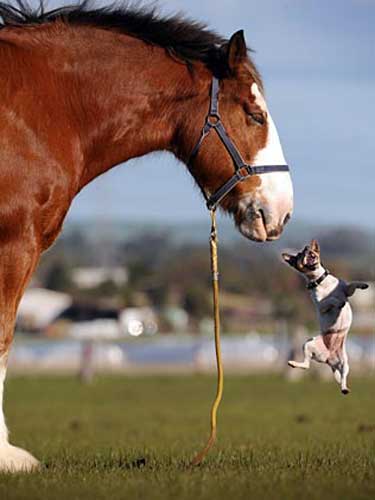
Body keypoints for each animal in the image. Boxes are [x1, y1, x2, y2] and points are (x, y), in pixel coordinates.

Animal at [284, 240, 368, 396]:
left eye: (311, 251)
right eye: (300, 255)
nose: (307, 249)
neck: (319, 280)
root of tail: (328, 358)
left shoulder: (346, 290)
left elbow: (352, 285)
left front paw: (363, 284)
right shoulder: (321, 306)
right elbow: (330, 300)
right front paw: (338, 302)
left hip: (344, 363)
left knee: (342, 377)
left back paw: (344, 388)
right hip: (308, 344)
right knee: (306, 365)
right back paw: (293, 363)